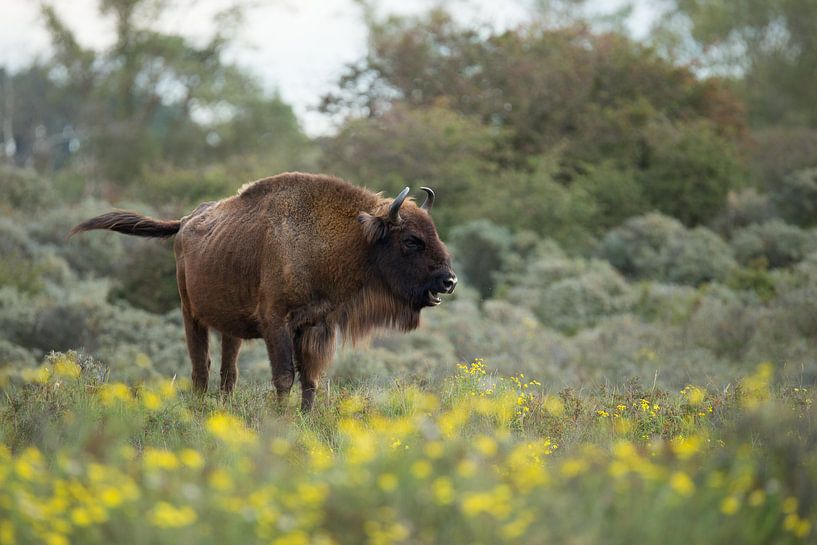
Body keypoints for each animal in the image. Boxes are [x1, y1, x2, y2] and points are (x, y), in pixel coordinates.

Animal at [67, 172, 456, 410]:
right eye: (411, 240)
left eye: (433, 231)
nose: (448, 281)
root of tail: (185, 222)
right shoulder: (276, 323)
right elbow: (284, 376)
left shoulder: (316, 326)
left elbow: (310, 378)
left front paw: (305, 418)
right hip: (190, 314)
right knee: (200, 368)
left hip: (229, 328)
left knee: (227, 372)